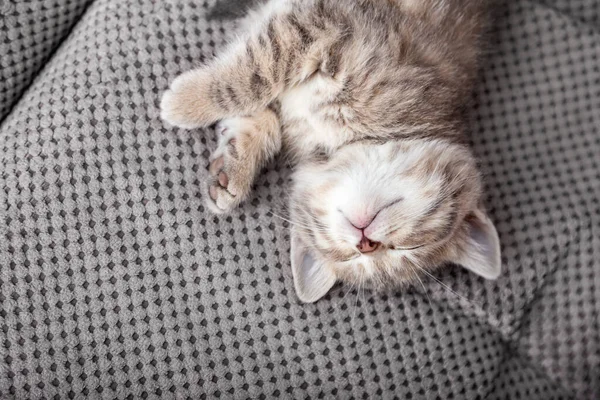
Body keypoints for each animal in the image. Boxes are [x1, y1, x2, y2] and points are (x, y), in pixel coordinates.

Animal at [161, 0, 502, 304]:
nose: (366, 244)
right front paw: (187, 101)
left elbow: (262, 111)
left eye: (402, 251)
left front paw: (229, 172)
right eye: (410, 247)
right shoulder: (333, 24)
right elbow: (259, 74)